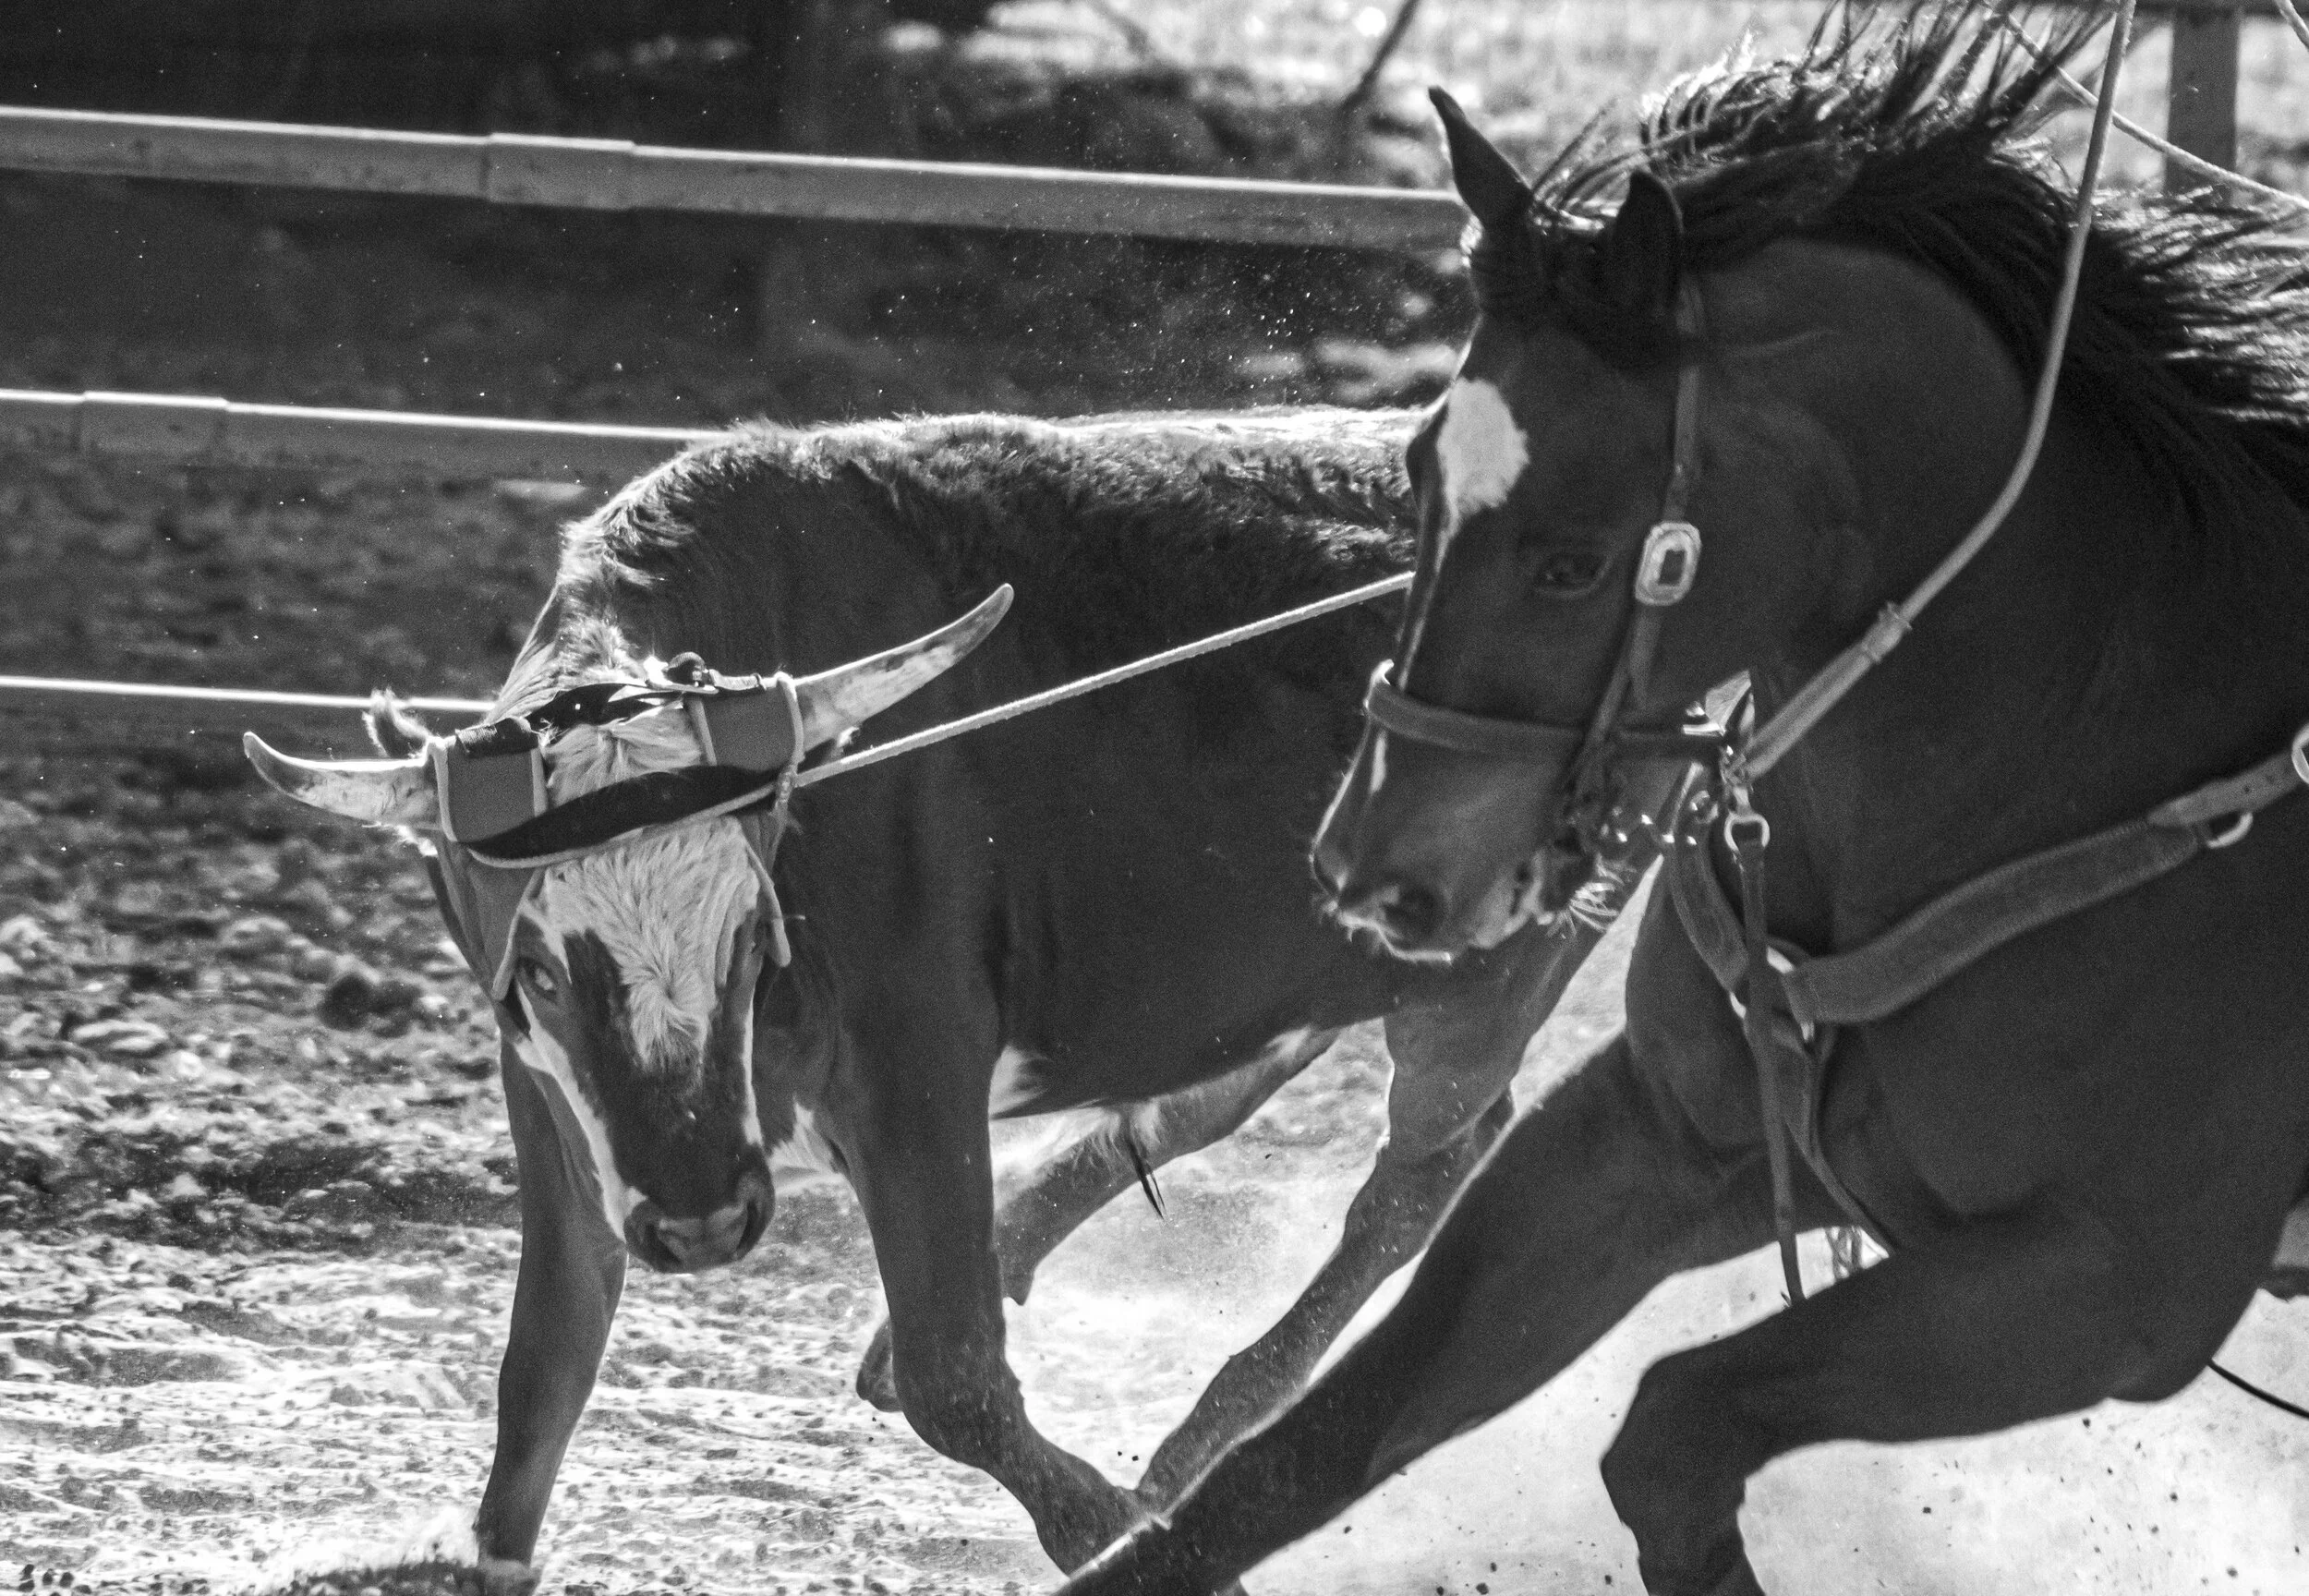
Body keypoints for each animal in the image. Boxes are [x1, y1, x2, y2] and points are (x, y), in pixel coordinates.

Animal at [240, 405, 1653, 1585]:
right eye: (536, 964)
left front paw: (1108, 1525)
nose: (702, 1225)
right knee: (1224, 1092)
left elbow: (956, 1376)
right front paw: (486, 1550)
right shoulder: (549, 1090)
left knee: (1427, 1165)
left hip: (1497, 961)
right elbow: (548, 1350)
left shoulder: (914, 1059)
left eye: (750, 932)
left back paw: (1204, 1431)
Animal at [1053, 8, 2309, 1593]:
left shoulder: (2113, 1284)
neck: (2082, 742)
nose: (1368, 872)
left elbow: (1671, 1432)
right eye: (1416, 471)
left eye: (1577, 560)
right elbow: (1301, 1456)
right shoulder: (1649, 1138)